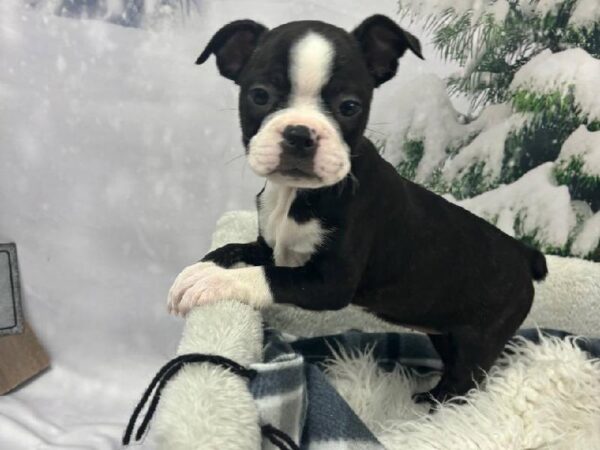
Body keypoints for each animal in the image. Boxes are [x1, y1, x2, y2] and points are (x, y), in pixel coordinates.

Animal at [168, 14, 548, 404]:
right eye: (259, 96)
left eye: (349, 106)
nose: (300, 134)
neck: (295, 194)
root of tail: (525, 253)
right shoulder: (268, 244)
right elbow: (234, 248)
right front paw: (199, 270)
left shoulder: (330, 282)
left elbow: (269, 276)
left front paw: (213, 280)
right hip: (445, 328)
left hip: (480, 338)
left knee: (462, 383)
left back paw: (427, 403)